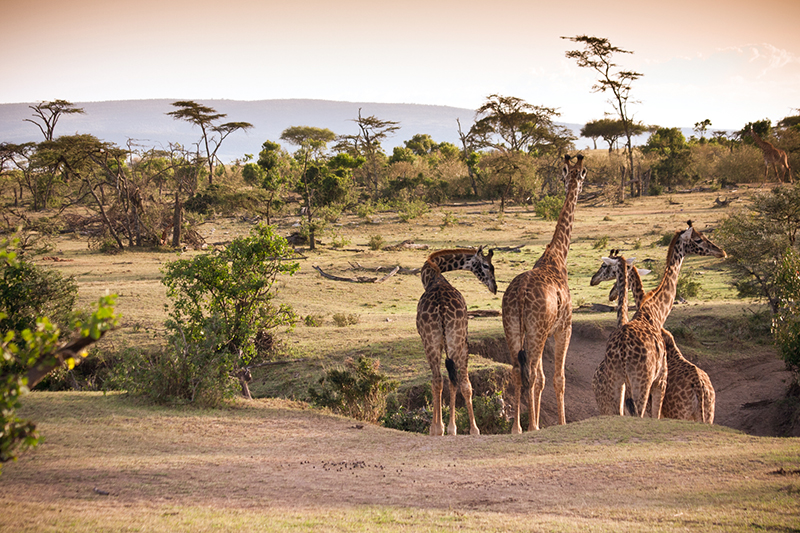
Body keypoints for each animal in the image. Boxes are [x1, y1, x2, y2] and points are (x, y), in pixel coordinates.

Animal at [418, 247, 494, 434]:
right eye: (486, 265)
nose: (494, 287)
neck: (433, 275)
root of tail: (441, 308)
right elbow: (457, 382)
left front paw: (442, 427)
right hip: (451, 340)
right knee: (455, 381)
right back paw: (467, 429)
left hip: (437, 341)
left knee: (441, 380)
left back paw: (440, 428)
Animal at [500, 152, 588, 430]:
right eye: (583, 175)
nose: (578, 186)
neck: (557, 256)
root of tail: (518, 296)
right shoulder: (564, 328)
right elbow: (558, 378)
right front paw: (559, 423)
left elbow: (541, 378)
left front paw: (538, 421)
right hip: (536, 331)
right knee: (530, 372)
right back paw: (529, 427)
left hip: (512, 327)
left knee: (517, 370)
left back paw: (517, 428)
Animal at [592, 222, 728, 418]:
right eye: (698, 239)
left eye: (604, 266)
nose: (721, 251)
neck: (654, 311)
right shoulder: (660, 380)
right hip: (647, 388)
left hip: (622, 384)